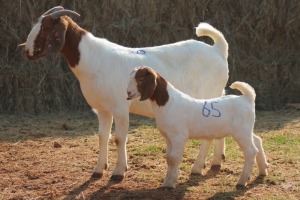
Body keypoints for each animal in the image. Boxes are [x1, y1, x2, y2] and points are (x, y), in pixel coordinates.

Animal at [18, 6, 229, 181]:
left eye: (46, 27)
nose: (26, 51)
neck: (93, 58)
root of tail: (218, 50)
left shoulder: (120, 107)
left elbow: (119, 139)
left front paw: (118, 172)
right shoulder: (102, 109)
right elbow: (102, 136)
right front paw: (98, 170)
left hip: (206, 97)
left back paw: (197, 167)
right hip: (217, 94)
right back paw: (216, 162)